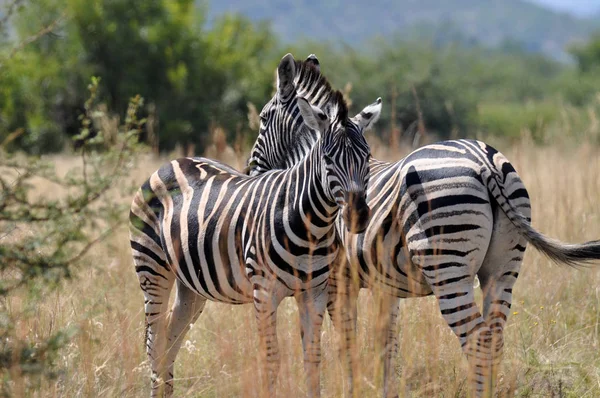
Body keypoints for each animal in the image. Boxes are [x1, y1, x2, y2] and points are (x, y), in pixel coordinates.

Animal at [129, 53, 382, 398]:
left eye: (367, 157)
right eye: (328, 159)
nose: (358, 215)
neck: (312, 223)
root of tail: (173, 162)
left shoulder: (315, 292)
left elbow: (315, 357)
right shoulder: (266, 292)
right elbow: (272, 360)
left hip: (191, 285)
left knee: (170, 338)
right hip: (152, 269)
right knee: (153, 342)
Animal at [243, 54, 600, 396]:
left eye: (263, 118)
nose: (249, 172)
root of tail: (484, 162)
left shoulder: (336, 282)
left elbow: (349, 345)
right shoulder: (385, 287)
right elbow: (386, 348)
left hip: (447, 267)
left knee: (478, 341)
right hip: (503, 268)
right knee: (495, 338)